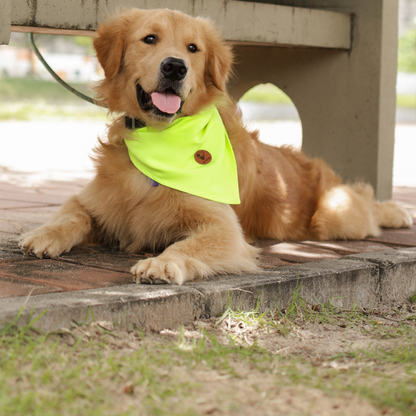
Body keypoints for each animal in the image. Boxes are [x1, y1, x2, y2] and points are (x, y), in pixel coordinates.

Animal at [19, 7, 410, 286]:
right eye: (149, 39)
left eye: (193, 48)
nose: (175, 67)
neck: (162, 139)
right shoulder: (95, 199)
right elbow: (71, 213)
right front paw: (43, 234)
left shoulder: (224, 229)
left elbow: (186, 244)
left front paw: (164, 263)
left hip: (335, 214)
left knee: (365, 204)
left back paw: (397, 211)